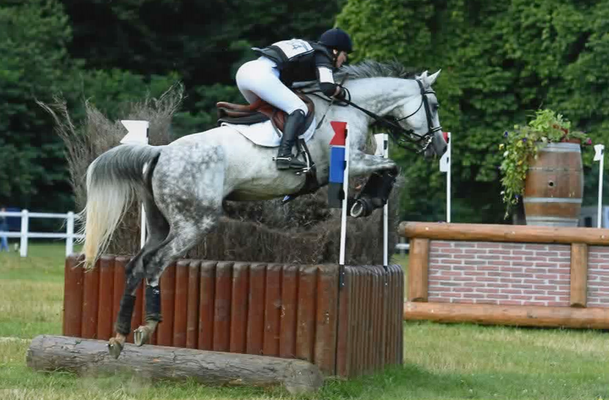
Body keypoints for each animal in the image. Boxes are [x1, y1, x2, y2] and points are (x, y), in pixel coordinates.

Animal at [78, 61, 444, 358]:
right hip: (194, 223)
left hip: (160, 224)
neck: (350, 109)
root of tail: (160, 153)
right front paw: (366, 202)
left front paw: (363, 201)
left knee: (135, 265)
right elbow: (390, 166)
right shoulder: (347, 161)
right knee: (155, 263)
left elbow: (388, 166)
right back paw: (149, 326)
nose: (439, 147)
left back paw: (118, 337)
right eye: (435, 105)